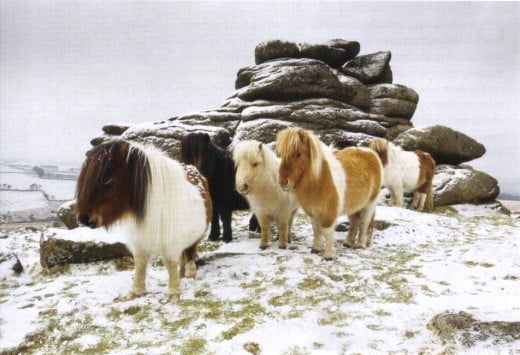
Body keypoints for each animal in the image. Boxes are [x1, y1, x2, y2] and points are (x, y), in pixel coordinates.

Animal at [74, 140, 211, 302]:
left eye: (106, 179)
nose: (84, 218)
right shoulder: (140, 240)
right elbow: (140, 264)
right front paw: (135, 291)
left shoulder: (170, 242)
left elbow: (170, 263)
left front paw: (174, 293)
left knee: (190, 251)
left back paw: (189, 274)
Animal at [276, 128, 382, 258]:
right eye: (281, 154)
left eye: (297, 154)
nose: (282, 182)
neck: (320, 180)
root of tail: (370, 152)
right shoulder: (313, 212)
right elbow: (316, 229)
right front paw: (316, 249)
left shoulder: (329, 213)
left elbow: (326, 231)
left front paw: (329, 255)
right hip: (355, 206)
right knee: (354, 222)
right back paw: (348, 243)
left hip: (370, 204)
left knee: (364, 223)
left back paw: (361, 245)